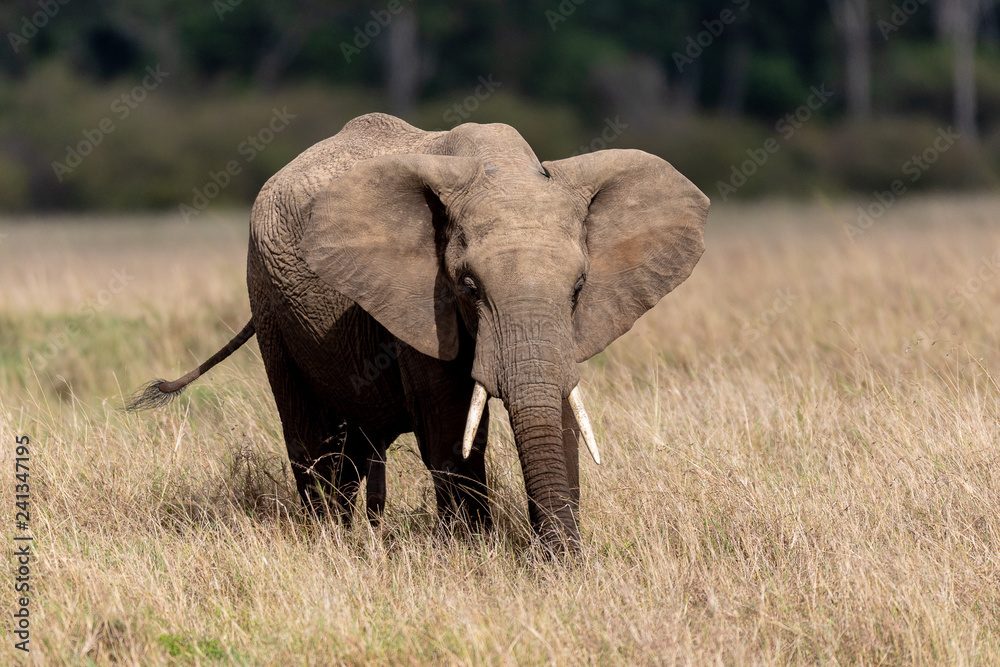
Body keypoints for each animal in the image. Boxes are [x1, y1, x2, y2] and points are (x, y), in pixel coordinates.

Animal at [129, 112, 709, 552]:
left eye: (580, 286)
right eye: (469, 286)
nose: (557, 558)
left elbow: (563, 412)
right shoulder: (422, 307)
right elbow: (450, 428)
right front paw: (476, 556)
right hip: (268, 300)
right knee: (314, 443)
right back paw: (329, 541)